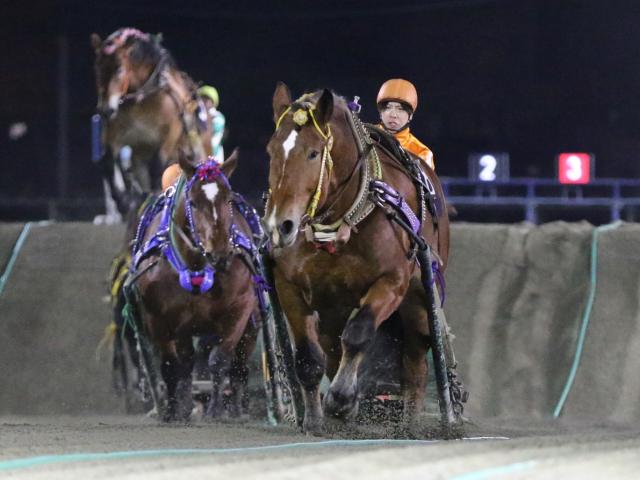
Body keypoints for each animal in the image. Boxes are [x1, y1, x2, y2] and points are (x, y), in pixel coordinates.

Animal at [127, 154, 262, 420]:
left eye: (228, 199)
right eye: (193, 203)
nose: (220, 252)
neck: (196, 266)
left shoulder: (240, 308)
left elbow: (219, 360)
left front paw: (216, 410)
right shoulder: (158, 317)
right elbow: (171, 365)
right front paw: (172, 411)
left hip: (252, 324)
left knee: (239, 365)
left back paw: (236, 409)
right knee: (187, 361)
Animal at [264, 83, 450, 436]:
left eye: (313, 153)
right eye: (271, 151)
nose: (280, 226)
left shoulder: (392, 282)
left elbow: (359, 333)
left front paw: (341, 399)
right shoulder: (289, 286)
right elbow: (308, 357)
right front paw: (314, 419)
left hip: (419, 302)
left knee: (415, 361)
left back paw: (411, 423)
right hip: (331, 309)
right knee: (333, 349)